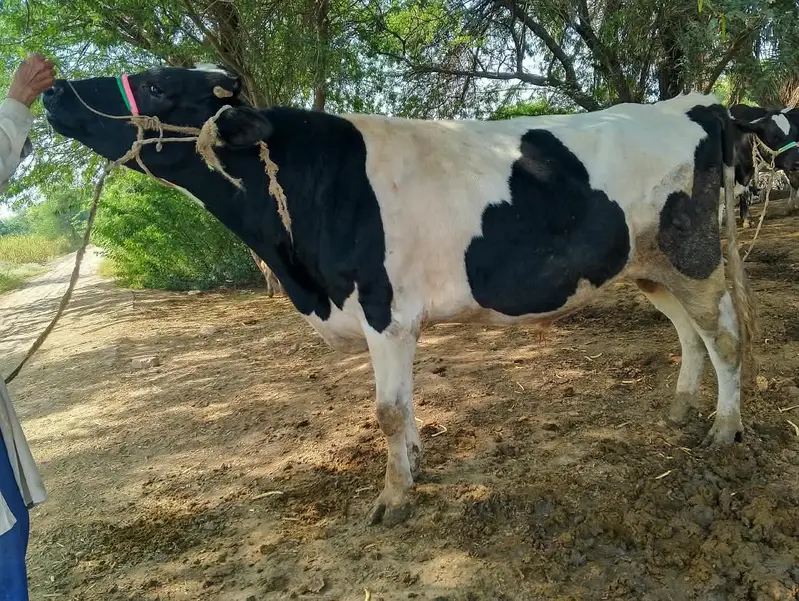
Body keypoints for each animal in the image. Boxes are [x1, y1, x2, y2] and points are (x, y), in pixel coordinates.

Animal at [42, 66, 799, 526]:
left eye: (158, 86)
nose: (52, 90)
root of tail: (697, 103)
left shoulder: (384, 310)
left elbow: (385, 410)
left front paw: (394, 497)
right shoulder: (390, 318)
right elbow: (403, 409)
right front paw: (413, 466)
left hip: (691, 253)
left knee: (723, 336)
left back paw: (724, 429)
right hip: (647, 264)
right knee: (689, 333)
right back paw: (678, 410)